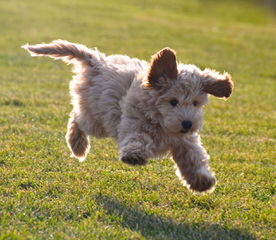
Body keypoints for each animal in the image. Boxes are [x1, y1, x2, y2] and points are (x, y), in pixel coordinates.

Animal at [23, 39, 233, 193]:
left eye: (196, 103)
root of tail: (97, 61)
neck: (162, 124)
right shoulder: (133, 122)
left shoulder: (185, 141)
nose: (188, 123)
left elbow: (194, 158)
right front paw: (134, 155)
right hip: (97, 119)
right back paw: (78, 145)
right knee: (77, 118)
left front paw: (202, 181)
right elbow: (138, 138)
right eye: (173, 101)